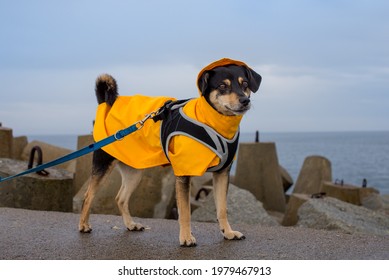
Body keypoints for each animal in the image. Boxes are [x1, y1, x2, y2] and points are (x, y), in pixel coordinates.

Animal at [78, 58, 260, 246]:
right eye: (223, 86)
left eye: (245, 84)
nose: (245, 100)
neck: (212, 123)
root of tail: (107, 105)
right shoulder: (184, 174)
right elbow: (185, 211)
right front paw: (186, 237)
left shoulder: (222, 173)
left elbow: (222, 208)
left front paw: (228, 233)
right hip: (103, 164)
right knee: (88, 196)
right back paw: (84, 225)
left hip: (134, 171)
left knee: (120, 198)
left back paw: (130, 224)